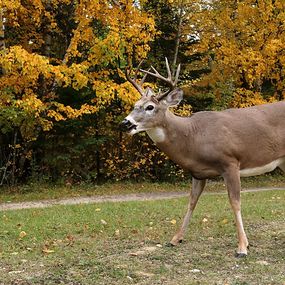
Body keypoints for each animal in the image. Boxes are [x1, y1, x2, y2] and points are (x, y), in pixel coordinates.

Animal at [120, 58, 284, 258]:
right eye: (134, 105)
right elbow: (191, 202)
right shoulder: (198, 173)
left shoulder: (230, 162)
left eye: (150, 107)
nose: (125, 123)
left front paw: (242, 247)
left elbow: (235, 202)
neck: (193, 136)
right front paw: (175, 239)